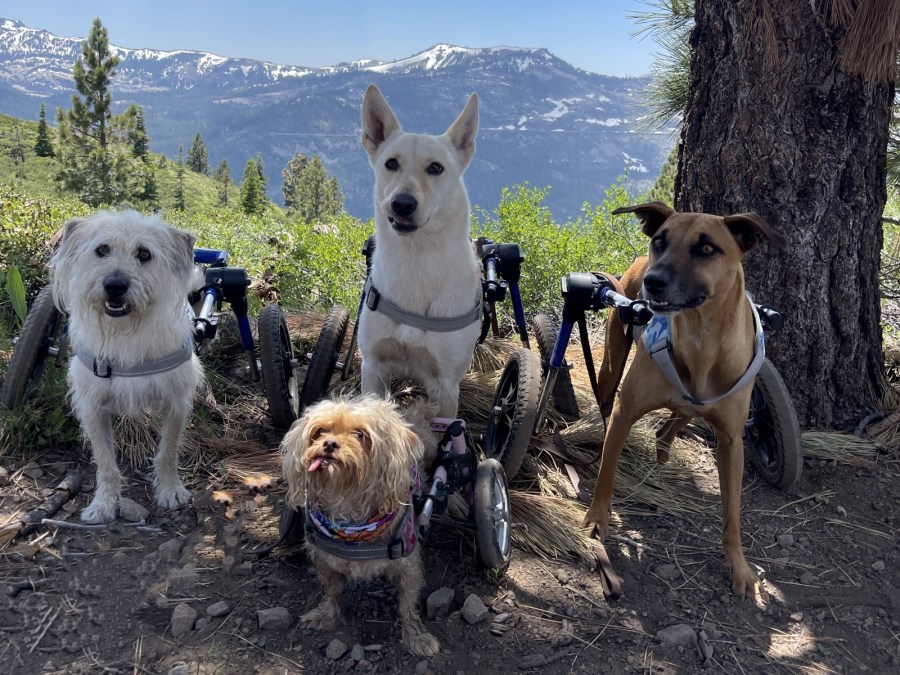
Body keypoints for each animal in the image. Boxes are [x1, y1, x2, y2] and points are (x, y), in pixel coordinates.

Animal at [51, 210, 204, 524]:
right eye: (102, 250)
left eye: (144, 253)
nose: (115, 285)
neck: (126, 333)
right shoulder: (92, 408)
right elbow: (105, 461)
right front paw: (104, 504)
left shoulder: (176, 402)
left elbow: (168, 450)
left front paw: (170, 490)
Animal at [280, 398, 438, 656]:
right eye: (319, 431)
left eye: (360, 434)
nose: (329, 444)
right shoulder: (324, 561)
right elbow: (332, 591)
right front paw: (326, 616)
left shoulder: (409, 568)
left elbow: (408, 604)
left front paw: (416, 636)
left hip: (430, 448)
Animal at [358, 84, 486, 418]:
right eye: (391, 163)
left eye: (435, 168)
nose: (402, 204)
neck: (415, 260)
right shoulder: (373, 367)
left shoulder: (445, 386)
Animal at [588, 202, 784, 604]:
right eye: (660, 241)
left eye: (706, 248)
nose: (654, 281)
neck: (701, 340)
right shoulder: (625, 411)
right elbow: (606, 473)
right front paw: (597, 519)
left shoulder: (731, 440)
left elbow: (732, 513)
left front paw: (739, 567)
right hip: (613, 361)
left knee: (679, 418)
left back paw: (665, 447)